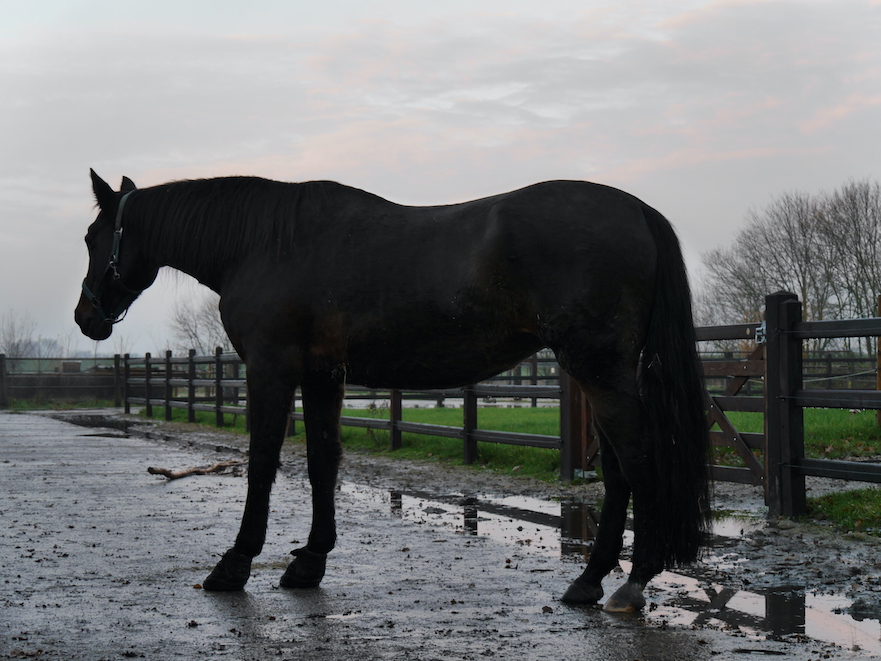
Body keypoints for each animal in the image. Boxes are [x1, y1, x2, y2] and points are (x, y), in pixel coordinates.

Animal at [74, 170, 708, 612]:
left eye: (91, 237)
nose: (86, 317)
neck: (265, 244)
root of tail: (638, 210)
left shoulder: (271, 370)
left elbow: (261, 463)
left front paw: (234, 566)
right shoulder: (324, 374)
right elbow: (322, 461)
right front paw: (309, 564)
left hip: (600, 369)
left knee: (640, 459)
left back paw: (633, 582)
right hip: (592, 372)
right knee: (618, 469)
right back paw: (589, 580)